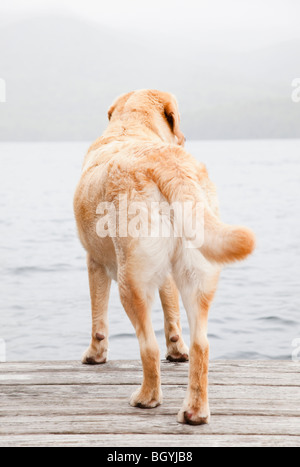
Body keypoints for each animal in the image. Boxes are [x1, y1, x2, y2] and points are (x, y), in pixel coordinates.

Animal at [74, 89, 254, 426]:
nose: (183, 138)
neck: (131, 128)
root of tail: (169, 165)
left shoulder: (94, 262)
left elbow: (97, 319)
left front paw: (95, 355)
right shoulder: (168, 275)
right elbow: (173, 315)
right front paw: (177, 350)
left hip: (132, 281)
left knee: (148, 346)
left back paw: (147, 397)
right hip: (197, 271)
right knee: (201, 344)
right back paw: (195, 410)